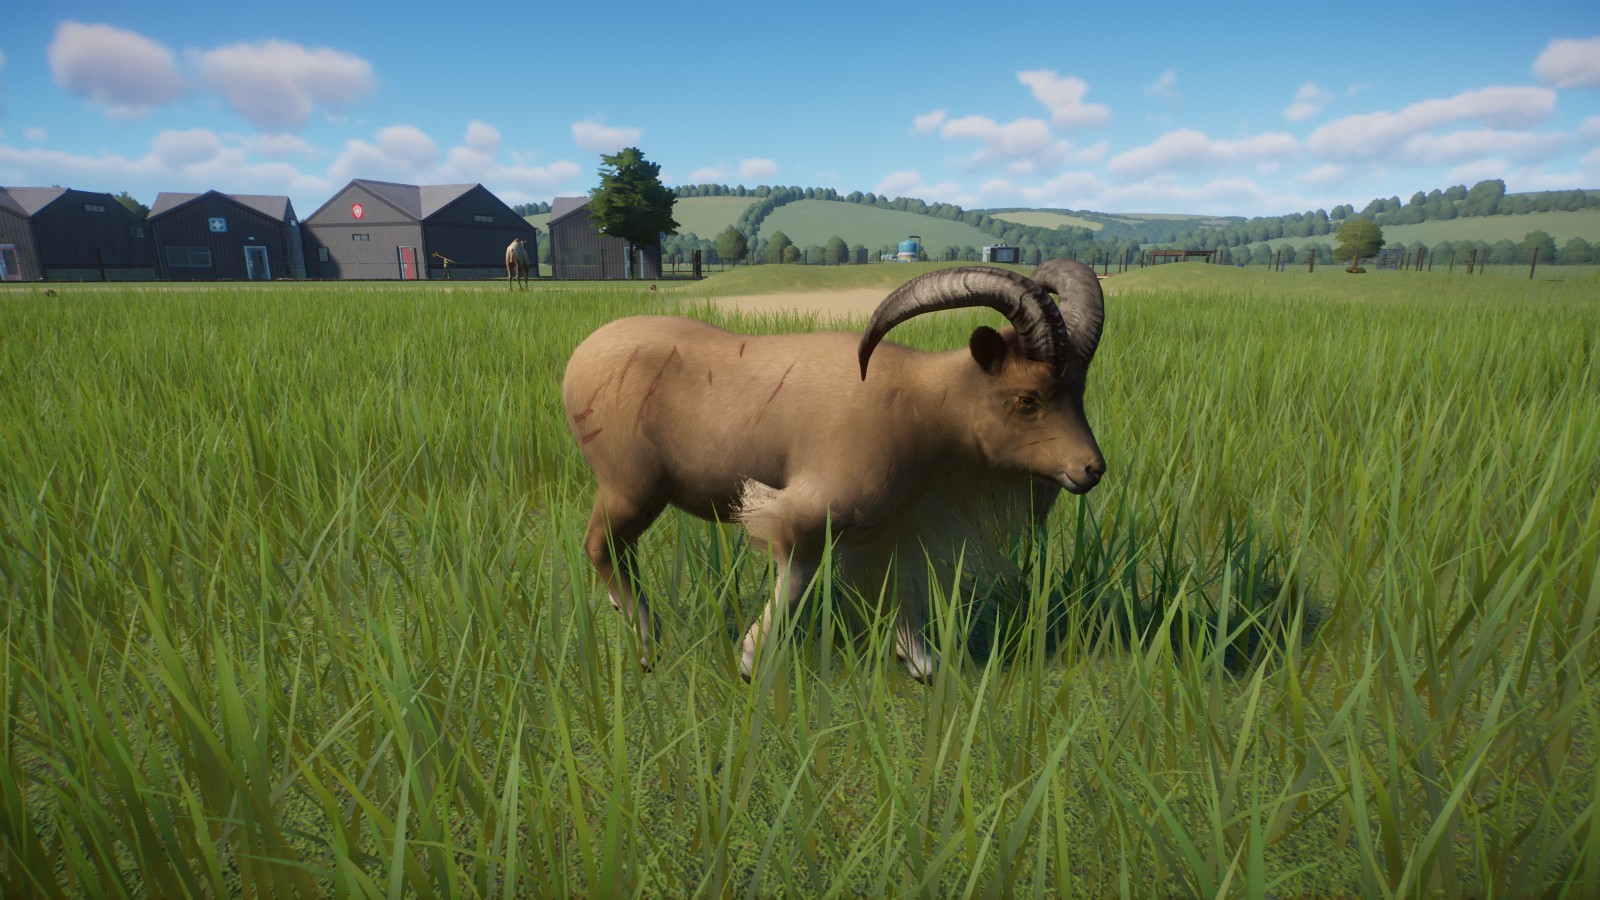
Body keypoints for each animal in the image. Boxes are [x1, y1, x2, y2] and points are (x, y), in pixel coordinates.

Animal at [562, 261, 1105, 681]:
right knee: (599, 546)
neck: (926, 405)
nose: (1092, 470)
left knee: (618, 550)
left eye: (1077, 392)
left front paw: (922, 663)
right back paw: (648, 643)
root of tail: (578, 359)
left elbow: (901, 590)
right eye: (1028, 399)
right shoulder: (803, 515)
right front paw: (751, 661)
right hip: (629, 487)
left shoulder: (893, 528)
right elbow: (794, 584)